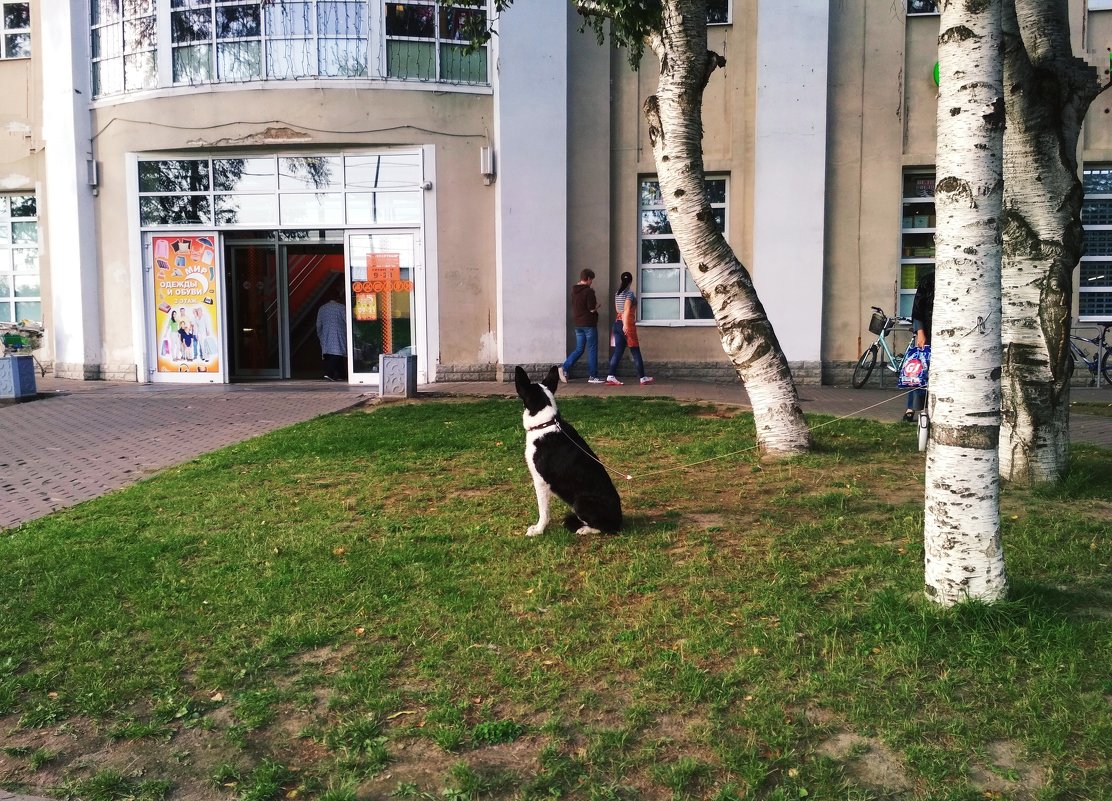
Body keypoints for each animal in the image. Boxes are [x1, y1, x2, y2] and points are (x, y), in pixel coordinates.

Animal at [513, 367, 622, 534]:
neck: (545, 424)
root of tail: (620, 521)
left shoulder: (540, 481)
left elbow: (543, 511)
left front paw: (538, 530)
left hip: (579, 502)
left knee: (604, 527)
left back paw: (584, 529)